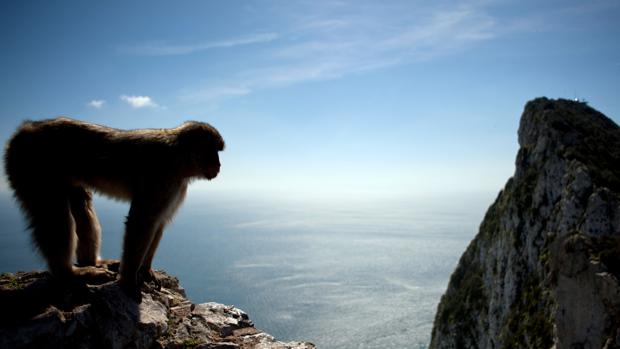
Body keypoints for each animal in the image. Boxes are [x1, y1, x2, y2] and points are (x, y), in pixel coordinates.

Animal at [3, 117, 225, 302]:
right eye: (213, 151)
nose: (219, 165)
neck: (180, 157)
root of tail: (25, 128)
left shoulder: (175, 186)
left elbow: (159, 221)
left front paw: (145, 270)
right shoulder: (162, 177)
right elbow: (143, 220)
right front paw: (129, 280)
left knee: (81, 203)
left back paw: (91, 262)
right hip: (33, 167)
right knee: (54, 216)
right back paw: (69, 274)